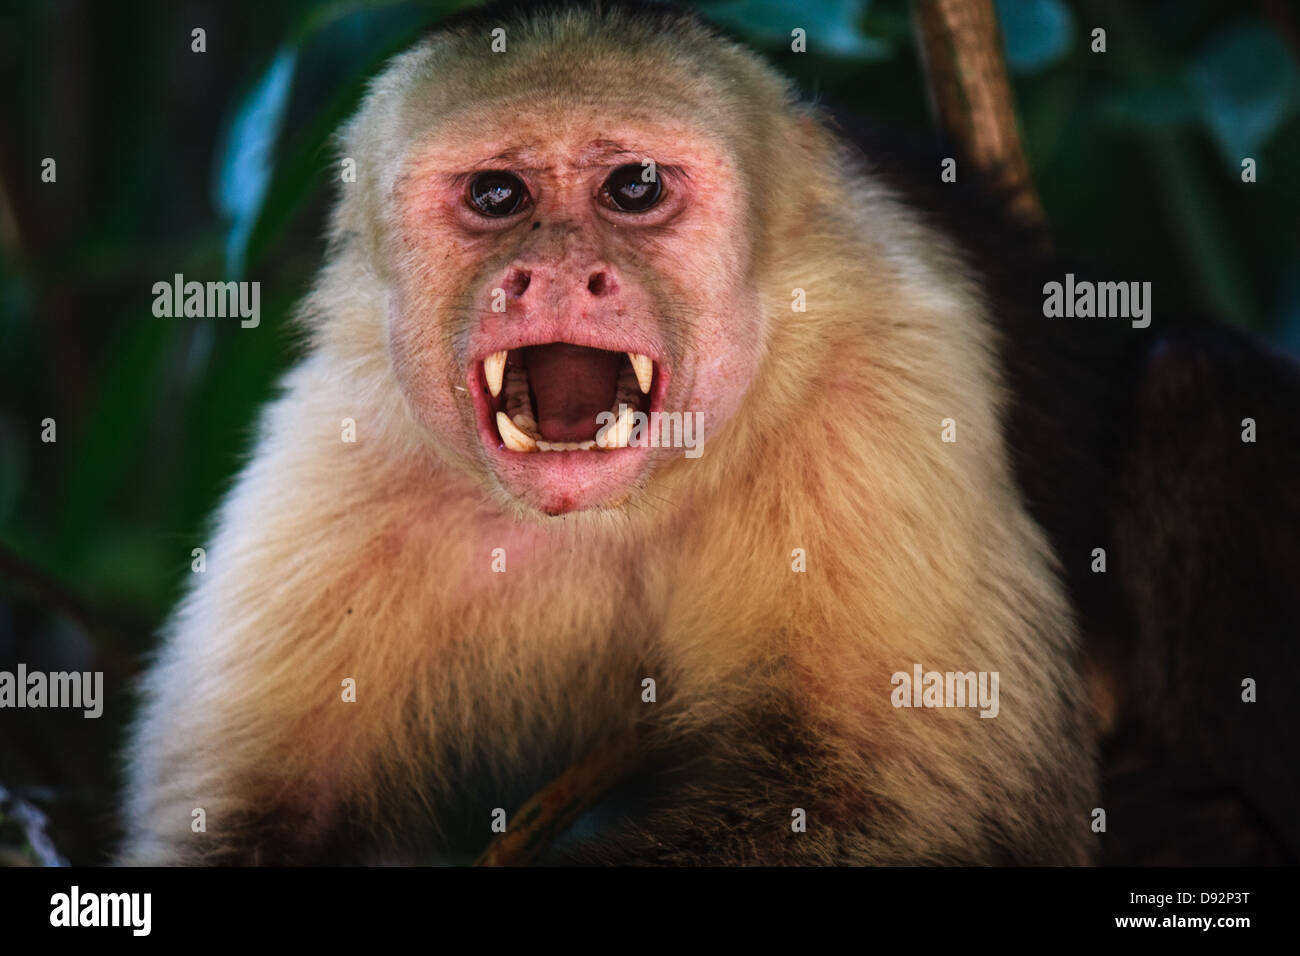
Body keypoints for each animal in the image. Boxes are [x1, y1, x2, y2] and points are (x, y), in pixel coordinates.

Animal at [119, 1, 1300, 868]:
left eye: (633, 186)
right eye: (496, 194)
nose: (553, 270)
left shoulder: (878, 395)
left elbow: (909, 804)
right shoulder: (341, 458)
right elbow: (242, 822)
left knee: (1197, 387)